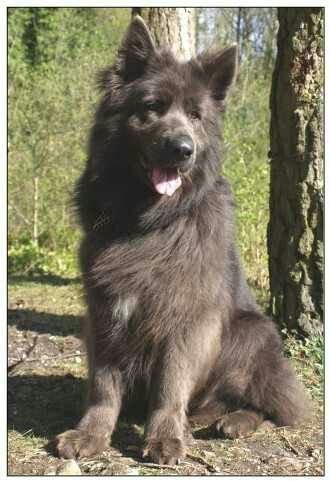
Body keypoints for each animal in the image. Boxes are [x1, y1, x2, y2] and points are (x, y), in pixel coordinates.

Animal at [55, 16, 310, 466]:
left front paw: (164, 437)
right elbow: (103, 384)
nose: (182, 149)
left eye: (195, 115)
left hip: (251, 332)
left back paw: (232, 420)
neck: (148, 223)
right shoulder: (104, 310)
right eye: (152, 106)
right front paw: (91, 434)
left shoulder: (185, 317)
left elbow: (170, 385)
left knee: (270, 406)